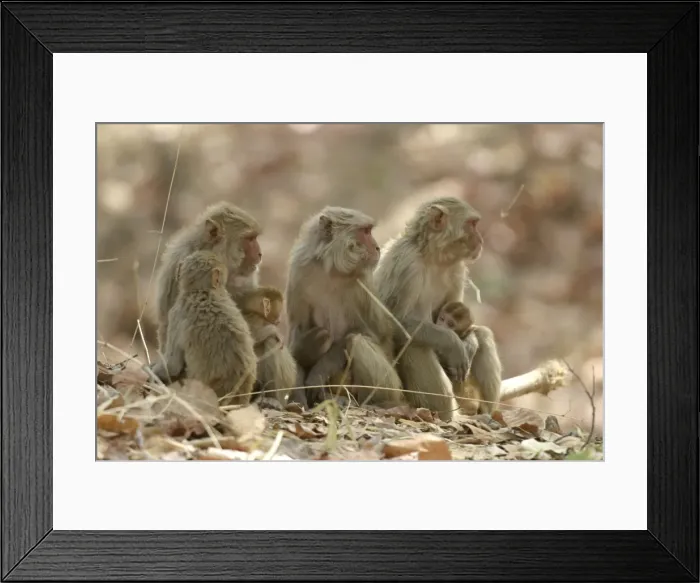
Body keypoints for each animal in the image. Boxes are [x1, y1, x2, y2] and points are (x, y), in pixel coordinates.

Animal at [284, 206, 404, 408]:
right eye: (365, 232)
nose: (377, 247)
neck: (331, 270)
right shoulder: (299, 271)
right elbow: (299, 329)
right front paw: (298, 392)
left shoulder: (361, 284)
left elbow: (370, 333)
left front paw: (318, 372)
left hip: (392, 385)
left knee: (357, 341)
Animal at [374, 196, 503, 421]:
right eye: (472, 224)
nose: (480, 240)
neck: (432, 257)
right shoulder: (406, 265)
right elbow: (392, 323)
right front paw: (452, 343)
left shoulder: (457, 269)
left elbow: (464, 320)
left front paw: (469, 341)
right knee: (415, 344)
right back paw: (447, 415)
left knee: (484, 335)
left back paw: (486, 413)